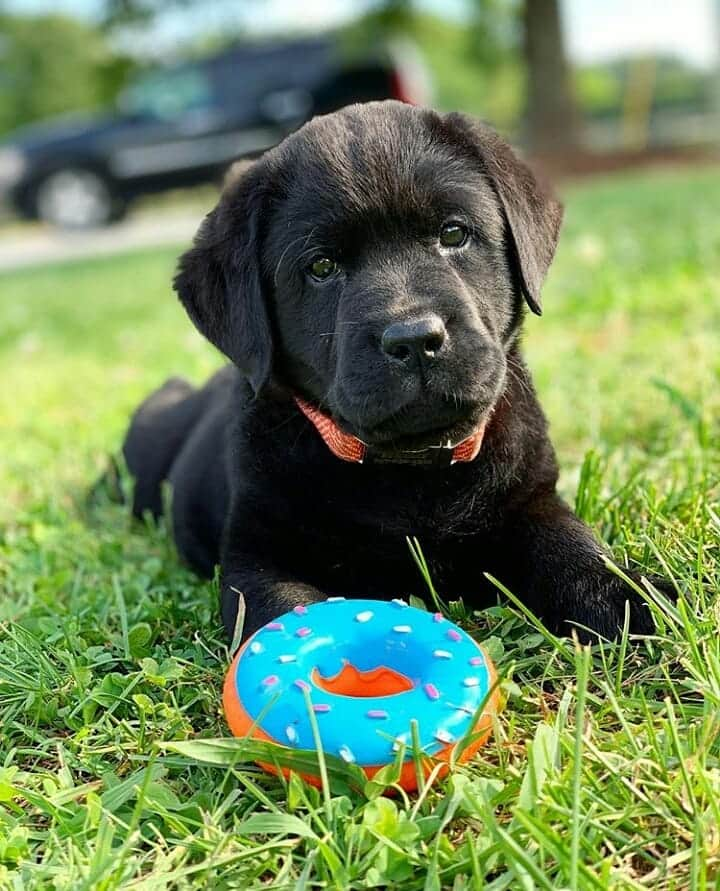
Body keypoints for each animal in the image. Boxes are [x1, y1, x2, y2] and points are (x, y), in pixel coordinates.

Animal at [122, 101, 664, 644]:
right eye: (322, 267)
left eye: (453, 234)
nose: (414, 339)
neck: (412, 468)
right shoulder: (257, 557)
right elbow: (288, 614)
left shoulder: (532, 500)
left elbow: (574, 552)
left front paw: (636, 602)